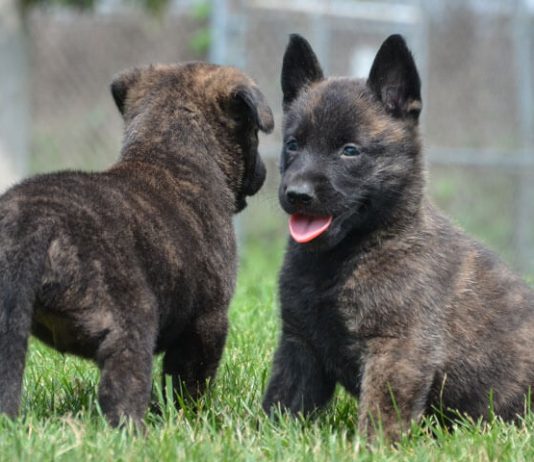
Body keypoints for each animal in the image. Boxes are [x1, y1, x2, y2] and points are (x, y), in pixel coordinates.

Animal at [0, 62, 274, 426]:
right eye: (253, 131)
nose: (265, 172)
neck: (169, 152)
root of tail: (32, 222)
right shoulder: (208, 320)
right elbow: (189, 381)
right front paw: (191, 418)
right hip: (130, 320)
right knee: (122, 384)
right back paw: (131, 429)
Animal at [264, 34, 534, 442]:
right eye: (293, 144)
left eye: (350, 151)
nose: (297, 194)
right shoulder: (300, 345)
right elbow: (281, 402)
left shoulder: (398, 348)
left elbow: (381, 413)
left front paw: (370, 447)